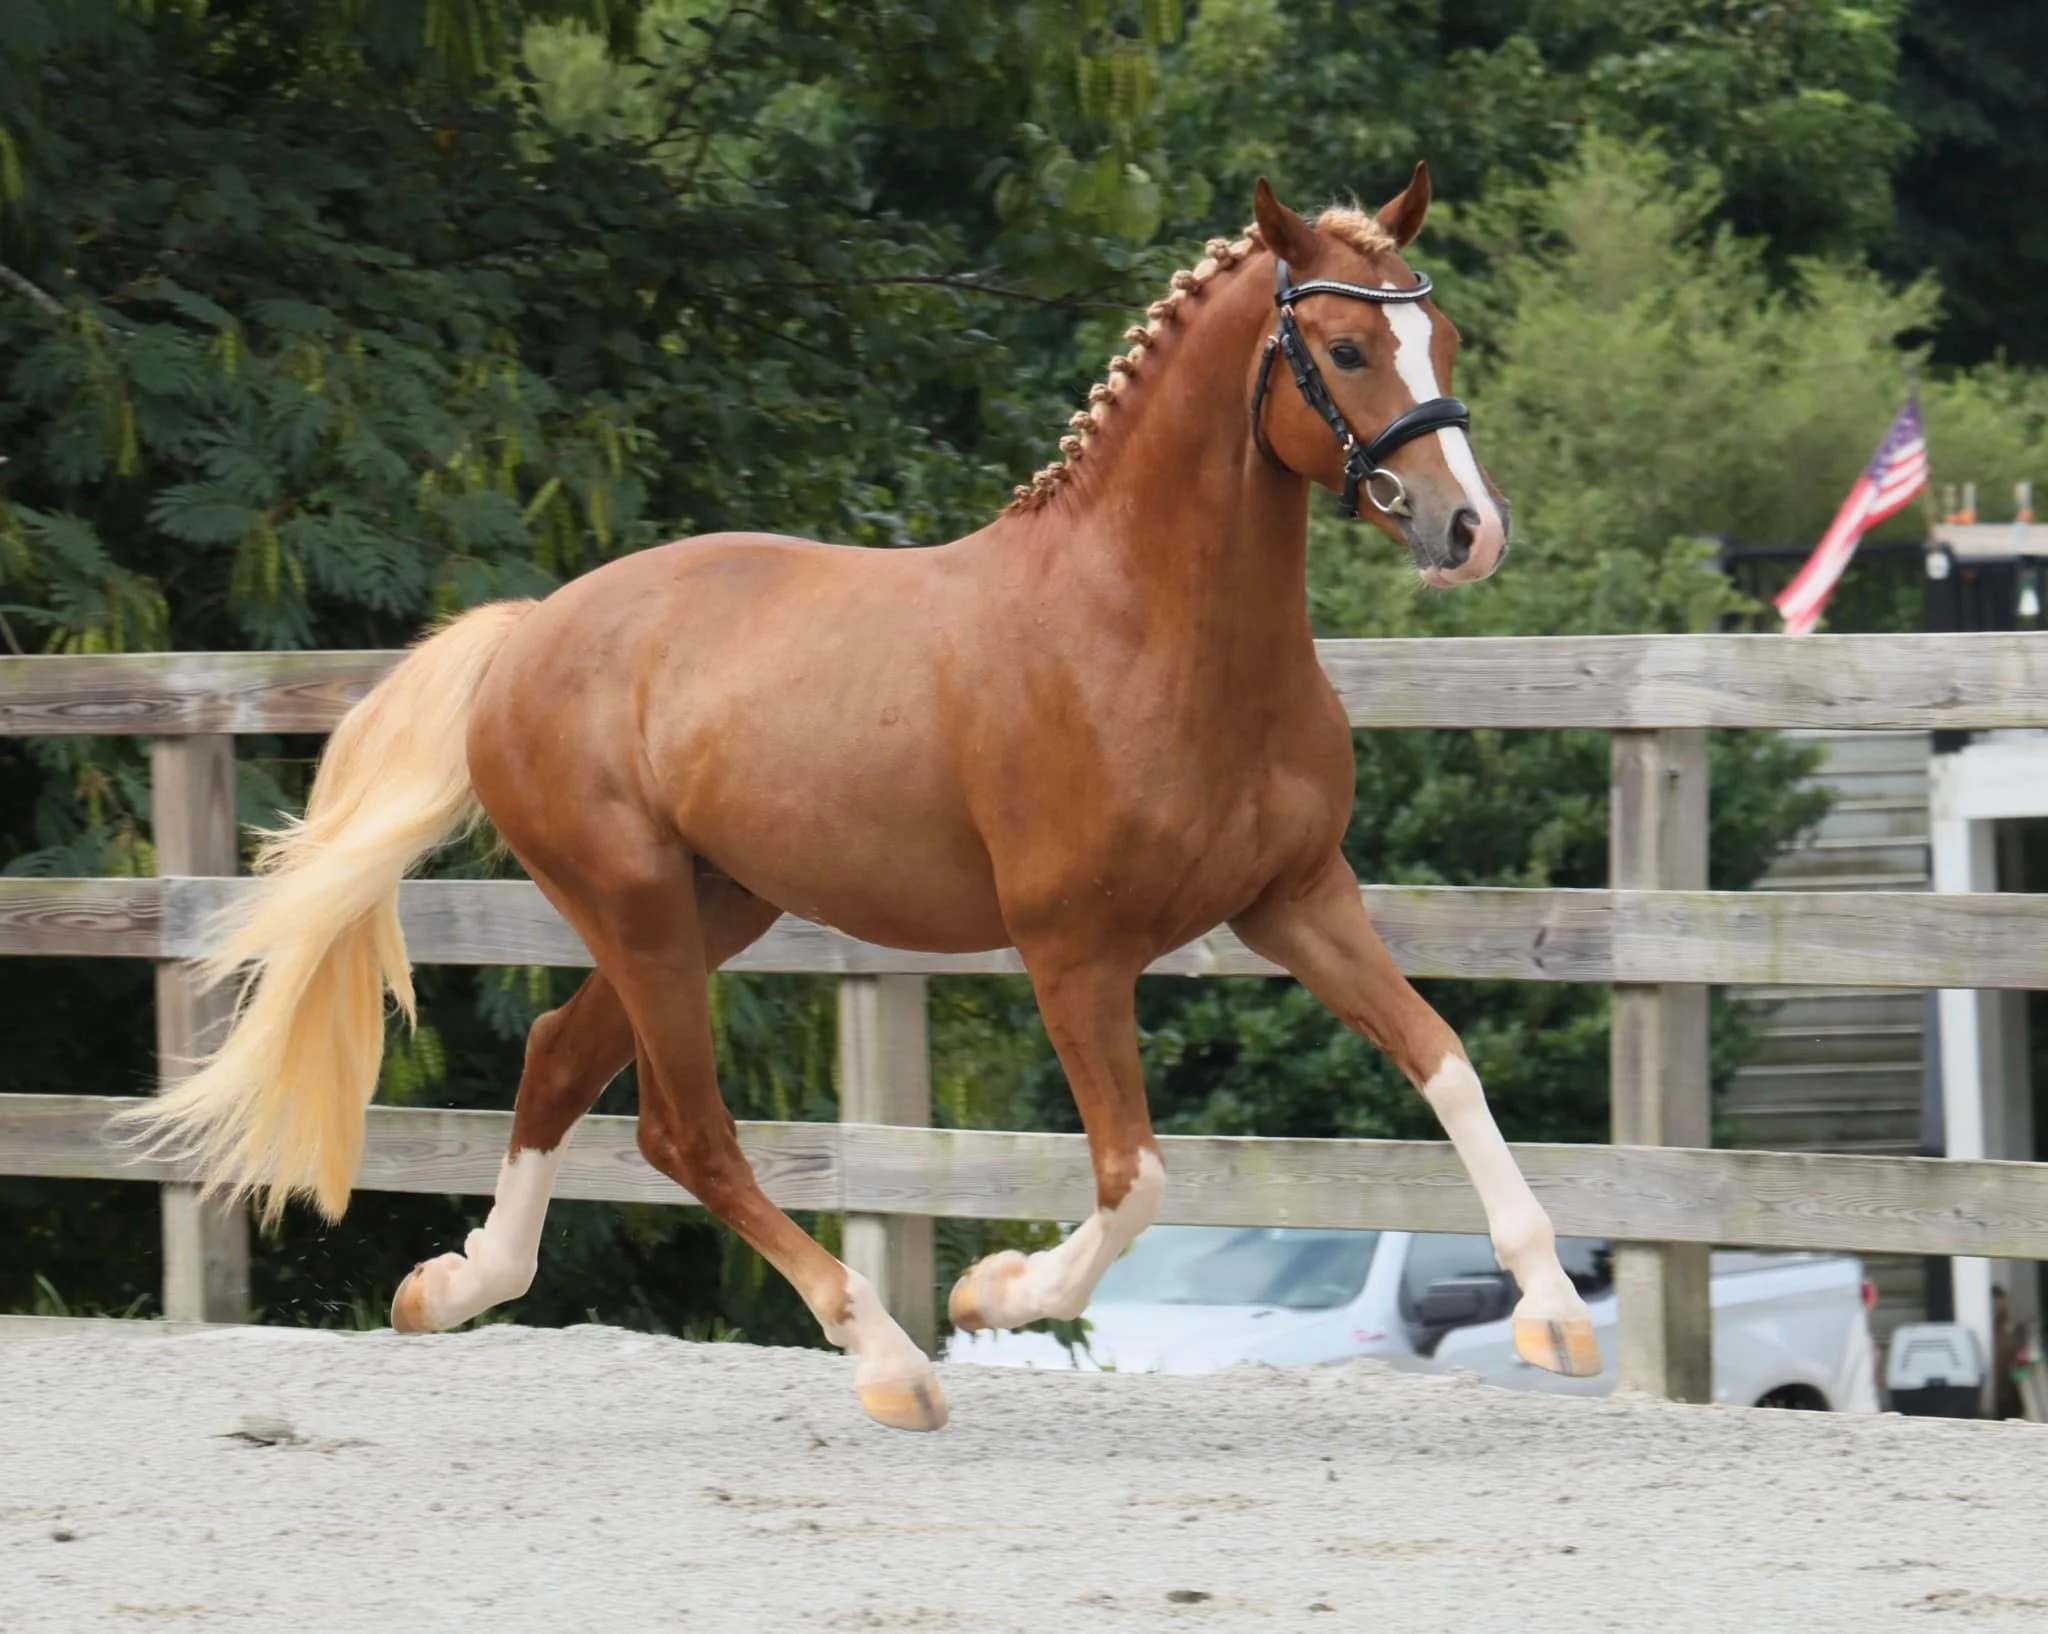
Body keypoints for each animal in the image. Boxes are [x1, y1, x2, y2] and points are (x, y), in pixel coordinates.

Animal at [123, 167, 1598, 1432]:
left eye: (1439, 336)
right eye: (1344, 351)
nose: (1470, 532)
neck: (1151, 633)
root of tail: (528, 632)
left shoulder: (1295, 898)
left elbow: (1446, 1063)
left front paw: (1556, 1316)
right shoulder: (1074, 951)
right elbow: (1136, 1178)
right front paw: (992, 1291)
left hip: (712, 906)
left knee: (558, 1060)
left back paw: (452, 1286)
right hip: (640, 905)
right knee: (685, 1129)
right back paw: (889, 1358)